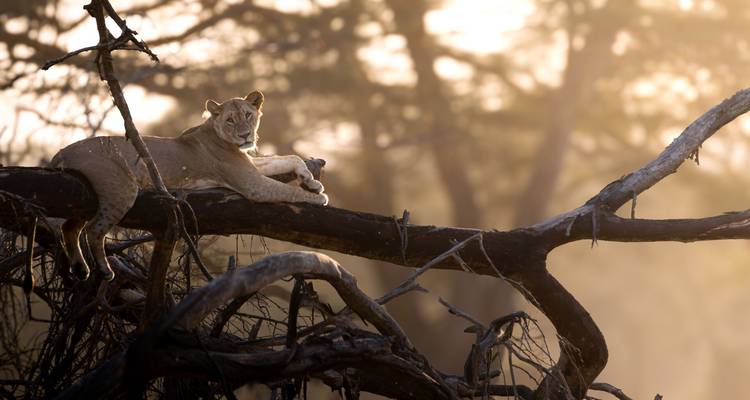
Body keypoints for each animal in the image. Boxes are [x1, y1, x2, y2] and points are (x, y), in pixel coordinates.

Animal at [51, 90, 328, 281]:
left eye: (248, 115)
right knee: (94, 229)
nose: (245, 136)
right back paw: (104, 270)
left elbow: (290, 158)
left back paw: (80, 268)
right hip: (120, 186)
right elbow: (289, 190)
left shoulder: (251, 167)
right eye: (230, 120)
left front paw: (311, 182)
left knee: (69, 227)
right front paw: (318, 197)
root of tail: (63, 150)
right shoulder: (252, 184)